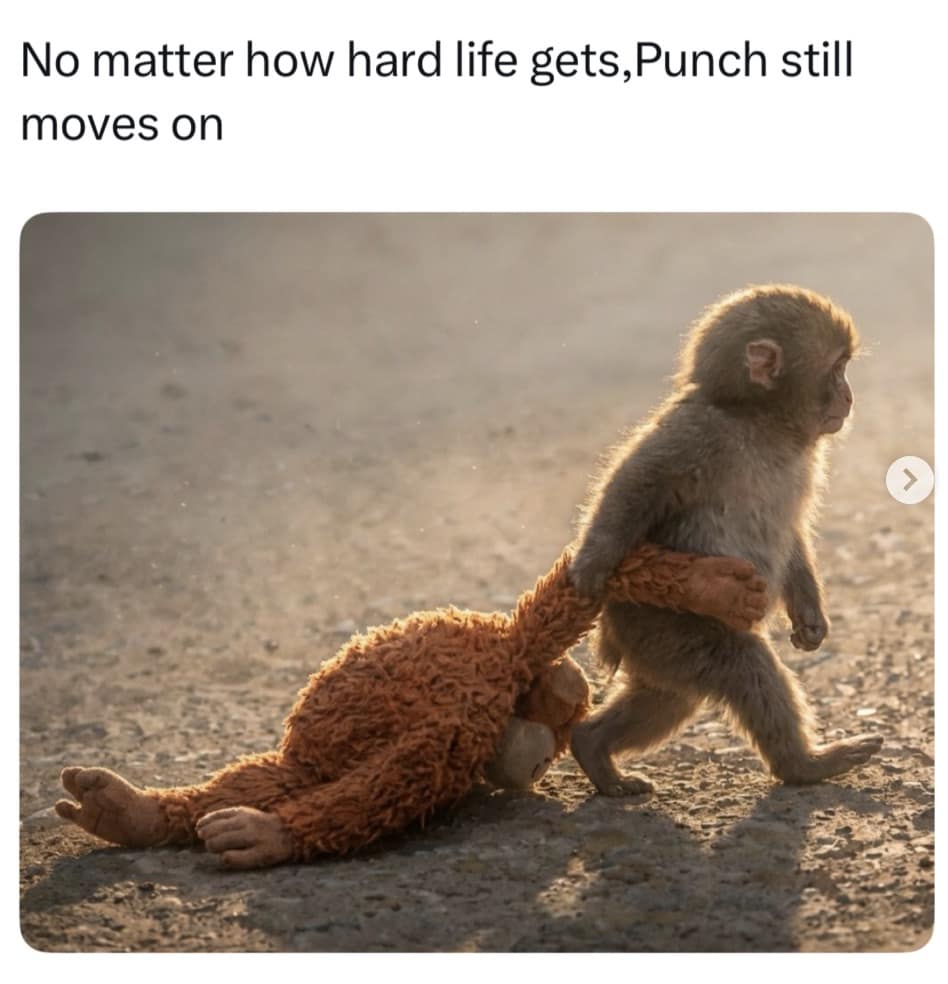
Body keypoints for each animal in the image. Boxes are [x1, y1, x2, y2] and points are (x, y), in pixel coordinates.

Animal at [568, 284, 883, 796]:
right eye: (836, 369)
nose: (849, 395)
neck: (760, 422)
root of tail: (619, 634)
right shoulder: (700, 432)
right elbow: (638, 480)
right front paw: (591, 565)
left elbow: (790, 533)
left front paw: (810, 616)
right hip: (661, 623)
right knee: (742, 665)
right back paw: (805, 766)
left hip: (657, 648)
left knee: (668, 696)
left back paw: (592, 745)